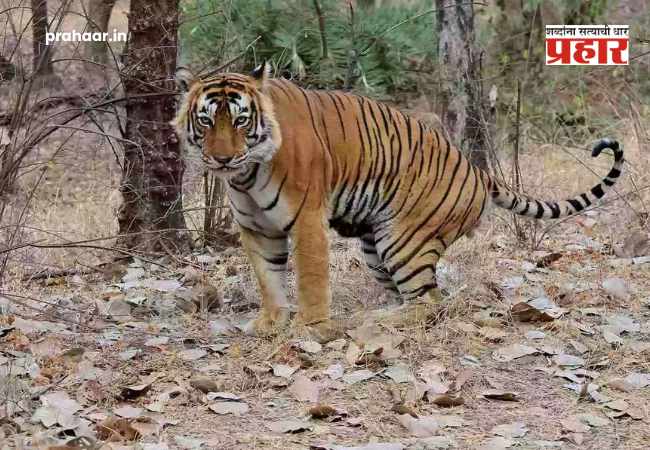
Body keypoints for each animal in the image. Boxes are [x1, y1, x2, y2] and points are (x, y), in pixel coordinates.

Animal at [173, 62, 624, 341]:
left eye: (241, 121)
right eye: (207, 121)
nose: (222, 158)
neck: (245, 176)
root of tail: (478, 170)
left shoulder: (306, 220)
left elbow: (310, 279)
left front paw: (310, 328)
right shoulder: (256, 228)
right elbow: (268, 280)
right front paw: (270, 323)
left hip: (404, 240)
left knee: (430, 302)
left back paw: (378, 319)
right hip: (376, 245)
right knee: (414, 294)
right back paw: (380, 313)